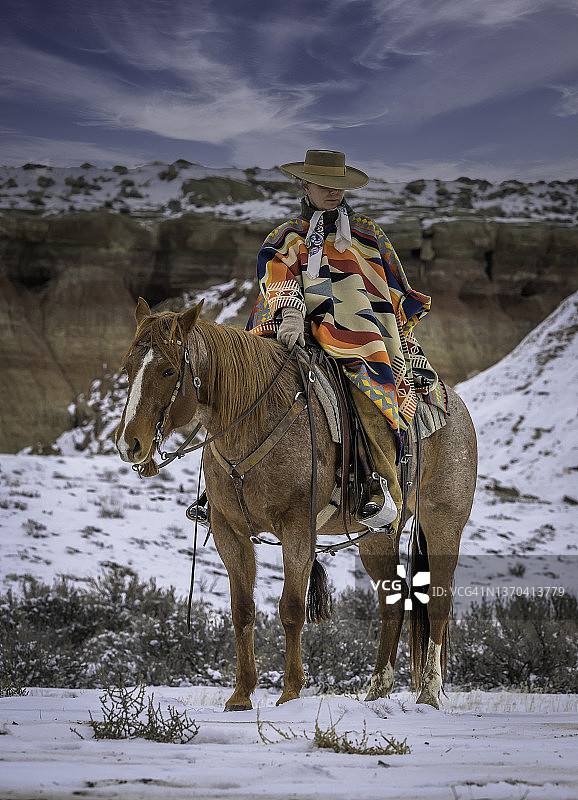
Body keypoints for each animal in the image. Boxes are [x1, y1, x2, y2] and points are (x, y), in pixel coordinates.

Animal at [116, 297, 477, 710]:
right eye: (128, 367)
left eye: (168, 370)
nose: (129, 444)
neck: (252, 421)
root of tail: (454, 404)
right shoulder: (229, 530)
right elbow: (243, 610)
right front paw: (241, 695)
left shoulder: (297, 527)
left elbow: (291, 608)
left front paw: (290, 692)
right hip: (377, 537)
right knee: (392, 598)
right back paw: (378, 689)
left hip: (442, 523)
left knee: (438, 601)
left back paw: (429, 691)